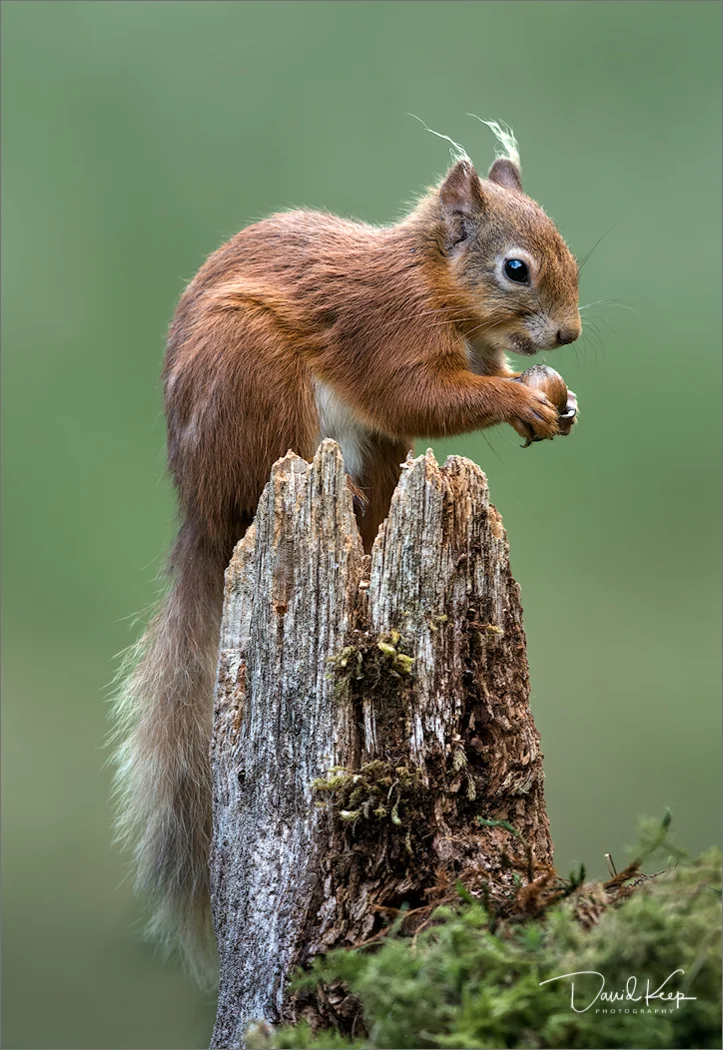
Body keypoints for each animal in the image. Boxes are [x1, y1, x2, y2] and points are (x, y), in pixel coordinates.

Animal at [112, 127, 581, 984]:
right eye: (515, 268)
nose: (567, 336)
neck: (432, 281)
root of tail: (202, 514)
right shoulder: (387, 330)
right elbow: (422, 396)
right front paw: (521, 400)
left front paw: (556, 402)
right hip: (254, 379)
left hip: (363, 443)